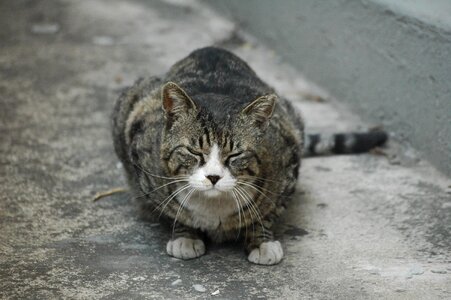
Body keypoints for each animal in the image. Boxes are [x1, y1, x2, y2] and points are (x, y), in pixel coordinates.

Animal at [111, 47, 386, 264]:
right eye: (194, 151)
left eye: (235, 154)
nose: (213, 177)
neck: (213, 208)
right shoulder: (140, 152)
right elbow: (172, 212)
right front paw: (185, 234)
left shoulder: (289, 154)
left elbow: (267, 213)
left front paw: (261, 241)